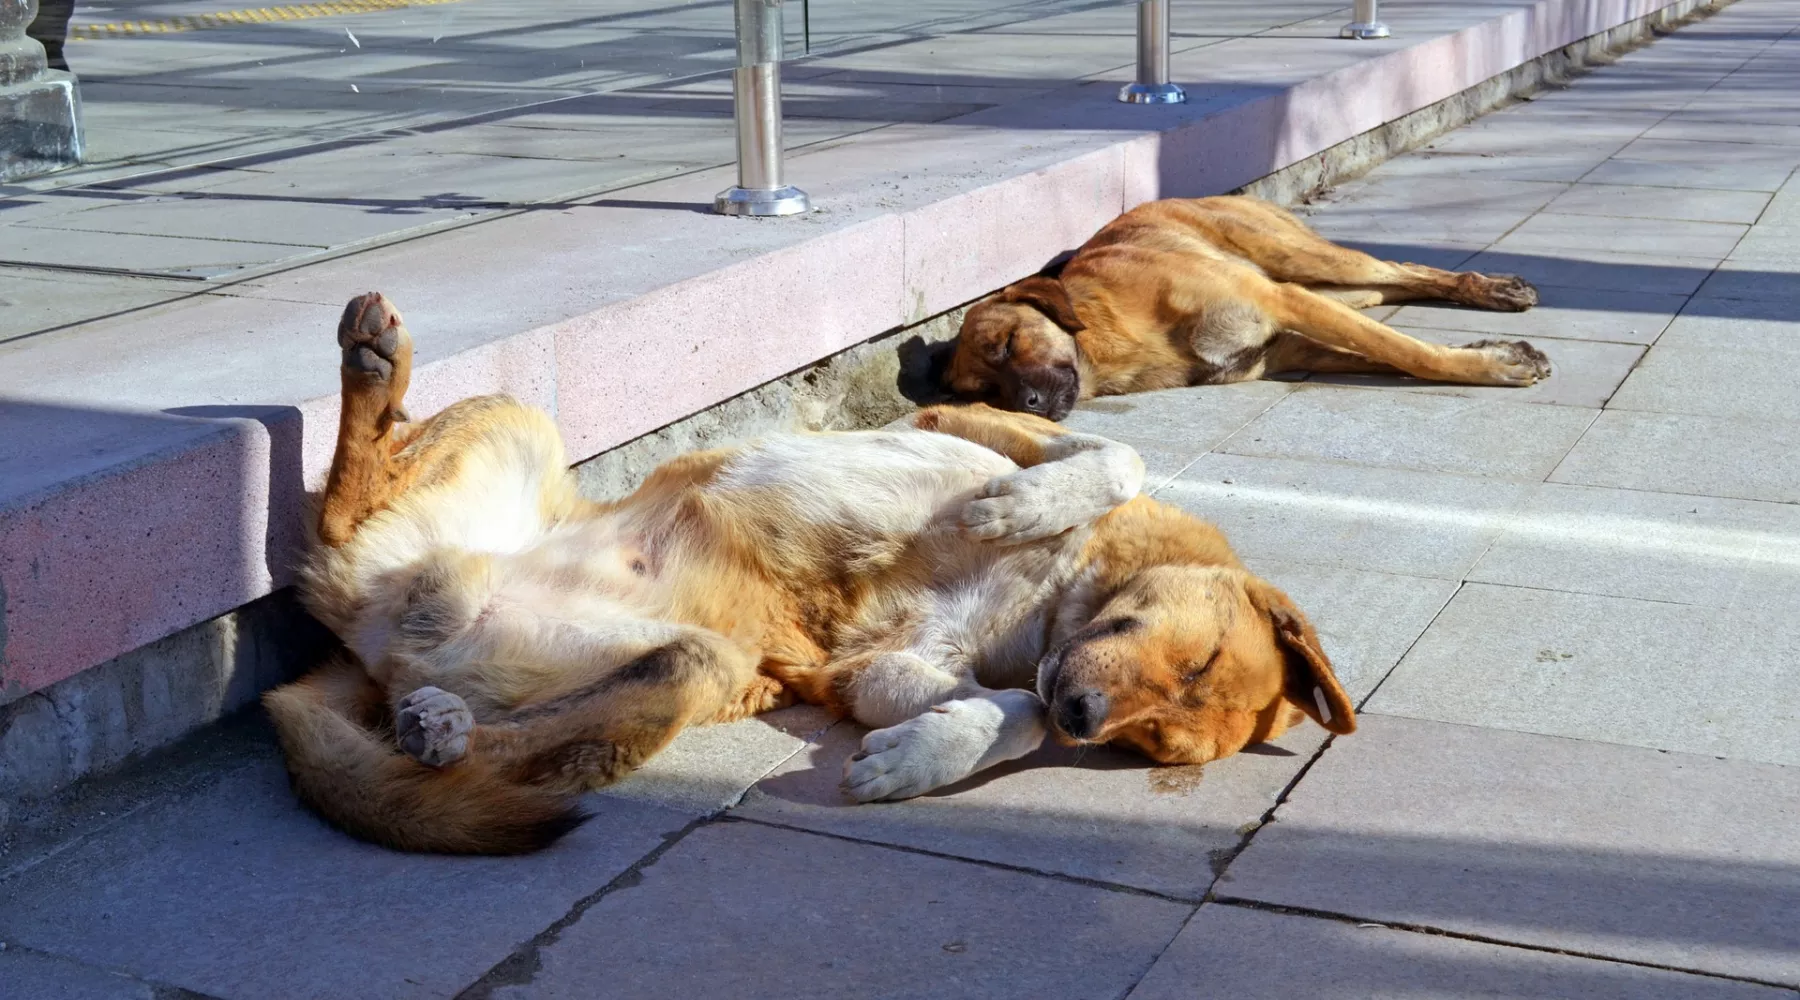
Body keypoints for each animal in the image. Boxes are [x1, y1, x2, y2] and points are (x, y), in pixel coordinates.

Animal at [257, 293, 1353, 856]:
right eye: (1197, 657)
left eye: (1152, 744)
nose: (1087, 717)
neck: (1052, 611)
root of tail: (357, 652)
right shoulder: (965, 423)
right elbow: (1111, 458)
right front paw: (1017, 507)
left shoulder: (868, 672)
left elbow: (1012, 710)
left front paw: (918, 758)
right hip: (515, 422)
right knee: (342, 503)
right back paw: (372, 366)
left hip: (697, 666)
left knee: (523, 737)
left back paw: (437, 727)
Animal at [943, 195, 1548, 417]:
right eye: (983, 394)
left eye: (1008, 344)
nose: (1027, 404)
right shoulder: (1287, 347)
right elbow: (1389, 353)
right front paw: (1495, 354)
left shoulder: (1280, 303)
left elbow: (1409, 353)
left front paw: (1490, 364)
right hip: (1323, 285)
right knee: (1390, 288)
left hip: (1298, 261)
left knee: (1402, 269)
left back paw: (1493, 289)